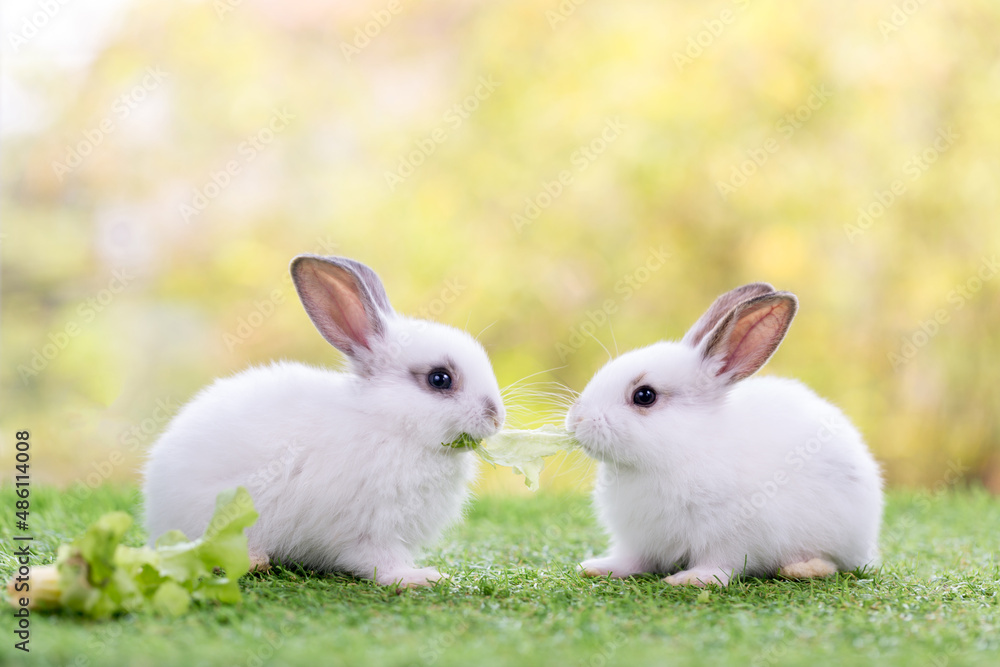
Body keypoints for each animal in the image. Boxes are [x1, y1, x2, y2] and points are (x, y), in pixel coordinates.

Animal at [144, 254, 505, 587]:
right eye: (439, 379)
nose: (496, 418)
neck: (387, 422)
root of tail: (156, 513)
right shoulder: (369, 528)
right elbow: (380, 561)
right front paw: (419, 578)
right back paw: (256, 561)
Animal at [566, 283, 883, 587]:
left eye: (644, 396)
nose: (576, 420)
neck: (685, 449)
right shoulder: (638, 540)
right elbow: (633, 560)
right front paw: (596, 568)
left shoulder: (733, 535)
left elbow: (720, 563)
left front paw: (692, 579)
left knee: (833, 563)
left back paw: (803, 568)